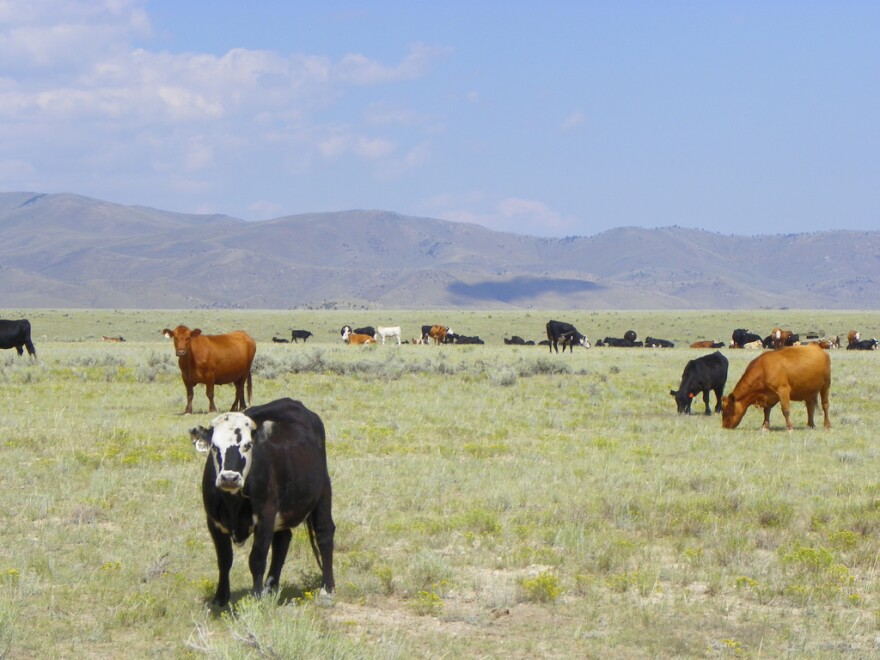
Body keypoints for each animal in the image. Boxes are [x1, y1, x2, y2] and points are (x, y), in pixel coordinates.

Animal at [191, 398, 336, 608]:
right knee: (283, 540)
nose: (229, 478)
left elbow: (257, 559)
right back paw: (271, 586)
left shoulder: (265, 517)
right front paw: (220, 597)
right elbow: (224, 560)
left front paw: (257, 596)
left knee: (325, 534)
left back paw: (327, 588)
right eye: (215, 447)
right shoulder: (214, 522)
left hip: (323, 490)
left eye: (247, 445)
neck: (233, 502)